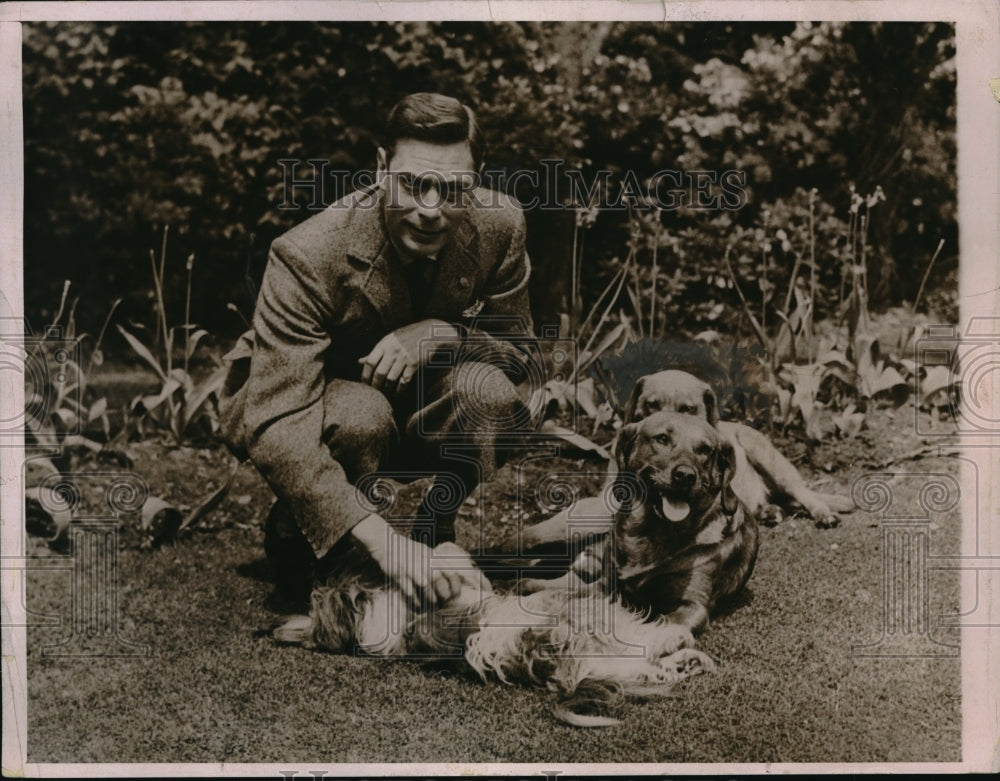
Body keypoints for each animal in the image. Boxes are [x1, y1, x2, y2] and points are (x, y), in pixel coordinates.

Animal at [520, 408, 760, 632]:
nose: (685, 475)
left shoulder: (692, 606)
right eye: (662, 439)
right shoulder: (606, 585)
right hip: (561, 533)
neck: (652, 530)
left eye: (705, 450)